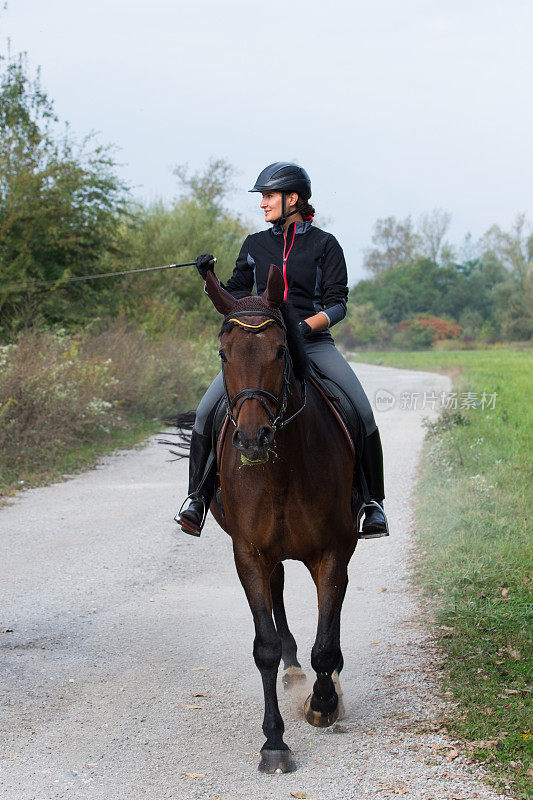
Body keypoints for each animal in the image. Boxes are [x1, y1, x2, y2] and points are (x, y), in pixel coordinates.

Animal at [204, 266, 358, 772]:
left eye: (279, 350)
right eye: (223, 353)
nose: (253, 439)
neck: (282, 468)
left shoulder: (333, 552)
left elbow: (326, 643)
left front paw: (324, 703)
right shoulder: (249, 554)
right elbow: (265, 647)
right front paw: (274, 741)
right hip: (269, 555)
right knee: (277, 595)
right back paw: (293, 670)